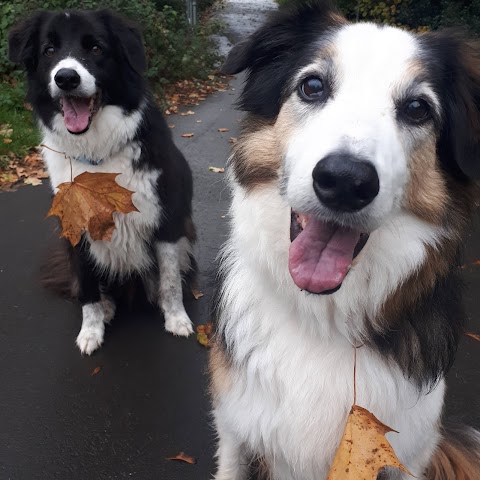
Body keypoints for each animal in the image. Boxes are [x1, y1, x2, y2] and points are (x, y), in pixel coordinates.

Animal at [7, 9, 195, 354]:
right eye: (49, 50)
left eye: (96, 48)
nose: (66, 78)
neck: (97, 154)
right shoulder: (76, 229)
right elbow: (88, 290)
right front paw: (91, 330)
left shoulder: (166, 222)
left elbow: (170, 280)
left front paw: (177, 319)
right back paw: (107, 307)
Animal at [212, 0, 480, 480]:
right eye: (313, 86)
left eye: (417, 108)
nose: (345, 181)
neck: (323, 321)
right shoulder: (235, 431)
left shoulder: (409, 453)